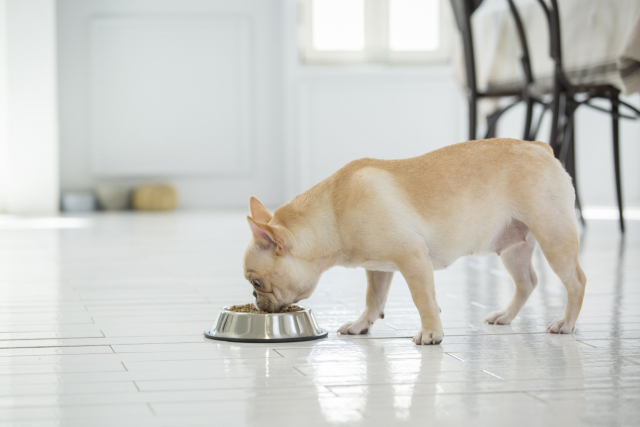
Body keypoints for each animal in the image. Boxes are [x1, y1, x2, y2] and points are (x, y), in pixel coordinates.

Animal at [242, 139, 588, 346]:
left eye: (257, 283)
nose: (256, 302)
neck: (333, 214)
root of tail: (540, 146)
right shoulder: (378, 269)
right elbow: (373, 299)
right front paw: (361, 324)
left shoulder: (412, 257)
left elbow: (423, 299)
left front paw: (431, 332)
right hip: (514, 249)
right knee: (527, 282)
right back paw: (505, 316)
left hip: (554, 237)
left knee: (576, 281)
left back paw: (566, 323)